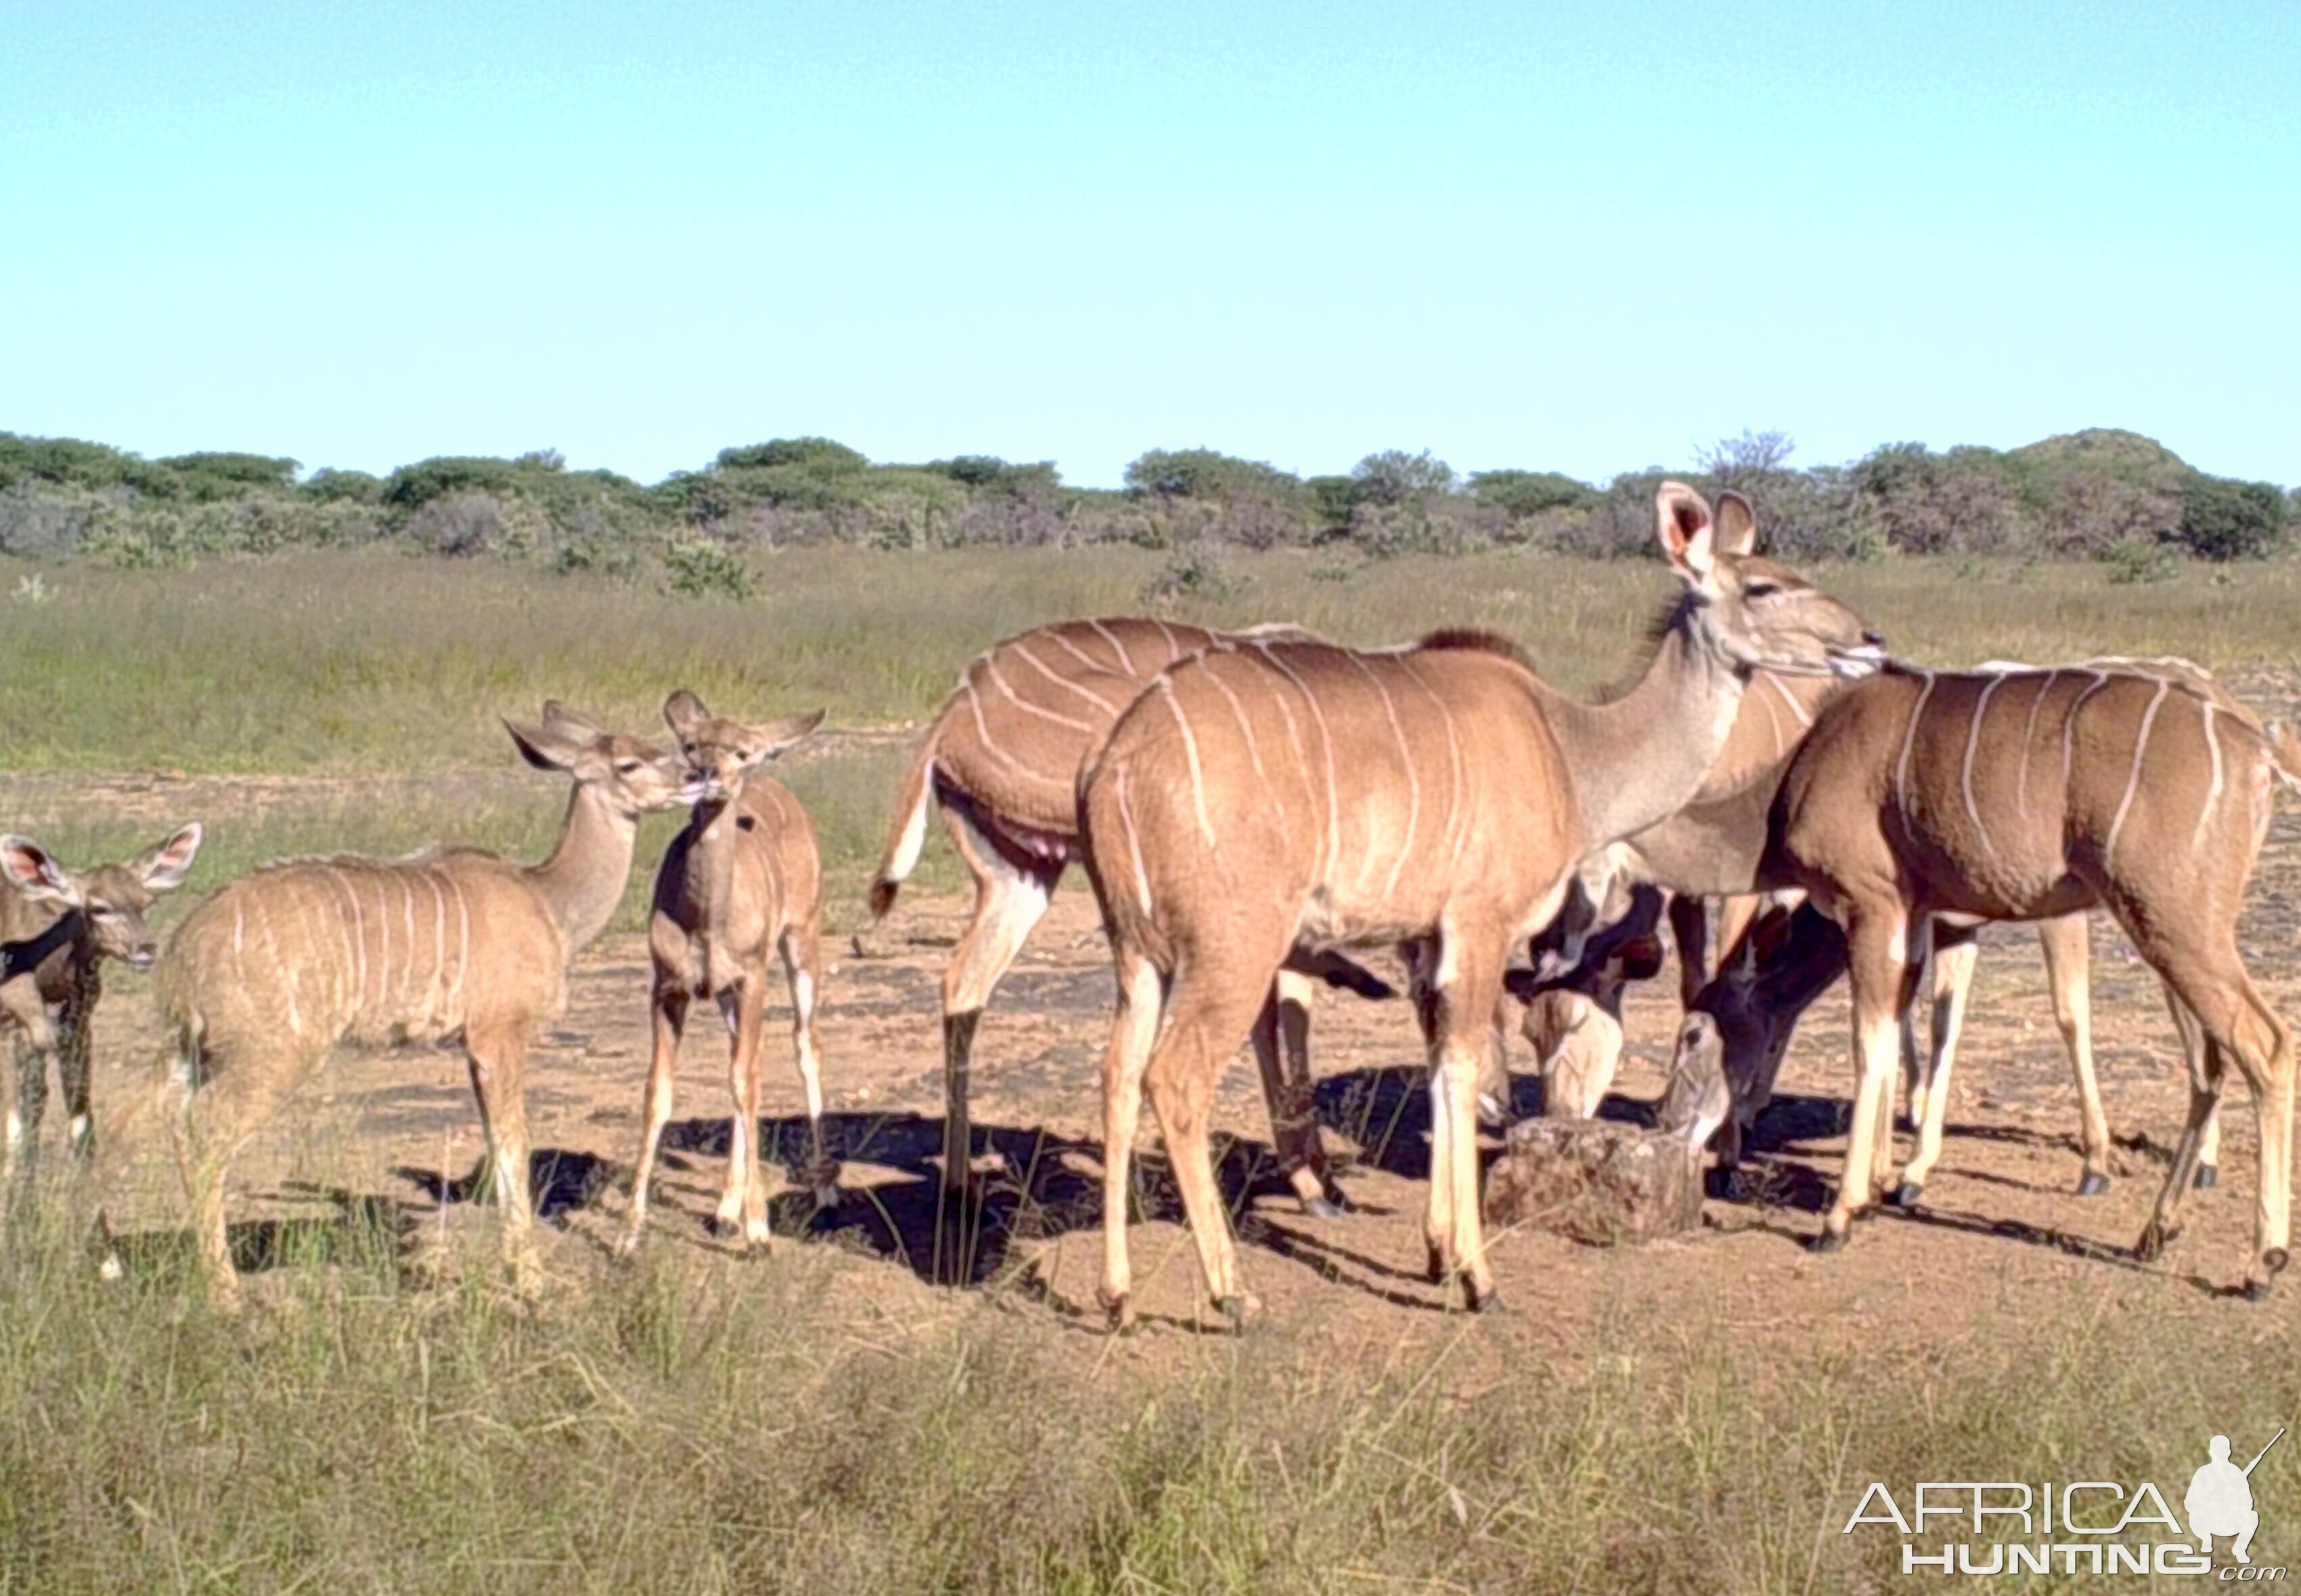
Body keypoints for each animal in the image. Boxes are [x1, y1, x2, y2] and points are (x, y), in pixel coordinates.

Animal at [0, 832, 202, 1195]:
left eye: (146, 903)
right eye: (99, 908)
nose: (146, 949)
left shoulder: (78, 1021)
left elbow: (78, 1116)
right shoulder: (18, 1021)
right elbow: (20, 1117)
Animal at [158, 708, 686, 1315]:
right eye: (630, 763)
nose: (696, 774)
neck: (549, 903)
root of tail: (182, 954)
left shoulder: (471, 1047)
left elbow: (495, 1144)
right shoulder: (499, 1035)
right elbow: (514, 1144)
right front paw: (531, 1282)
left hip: (194, 1055)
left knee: (174, 1125)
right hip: (270, 1055)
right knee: (203, 1134)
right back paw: (227, 1296)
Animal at [625, 694, 842, 1260]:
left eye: (743, 751)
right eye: (690, 744)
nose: (710, 774)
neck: (706, 920)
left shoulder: (751, 976)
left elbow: (745, 1082)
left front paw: (761, 1233)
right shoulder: (670, 987)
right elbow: (659, 1093)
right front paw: (628, 1236)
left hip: (802, 937)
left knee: (803, 1042)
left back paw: (824, 1191)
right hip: (728, 994)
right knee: (747, 1065)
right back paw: (725, 1210)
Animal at [1086, 481, 1877, 1333]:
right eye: (1760, 586)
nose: (1868, 642)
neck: (1572, 748)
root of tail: (1118, 762)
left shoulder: (1433, 942)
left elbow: (1442, 1069)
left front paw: (1437, 1255)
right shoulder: (1480, 927)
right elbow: (1465, 1070)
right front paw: (1477, 1277)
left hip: (1137, 956)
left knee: (1117, 1075)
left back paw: (1117, 1295)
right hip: (1232, 952)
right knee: (1175, 1078)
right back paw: (1233, 1293)